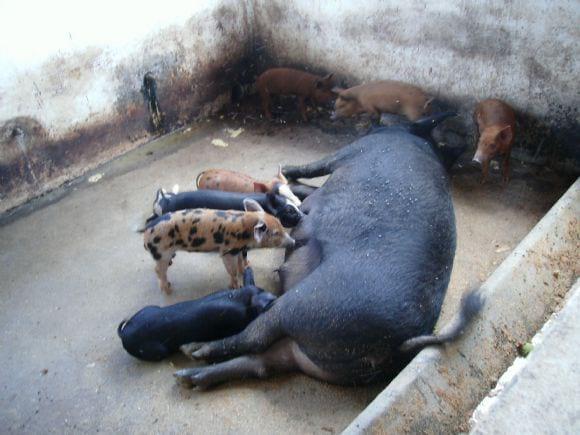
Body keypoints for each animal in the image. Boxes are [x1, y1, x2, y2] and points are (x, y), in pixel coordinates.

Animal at [174, 113, 482, 388]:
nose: (378, 116)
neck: (413, 137)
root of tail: (400, 344)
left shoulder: (352, 150)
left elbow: (314, 168)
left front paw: (287, 169)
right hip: (305, 352)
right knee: (260, 363)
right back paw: (189, 378)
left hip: (307, 303)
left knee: (253, 338)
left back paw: (193, 350)